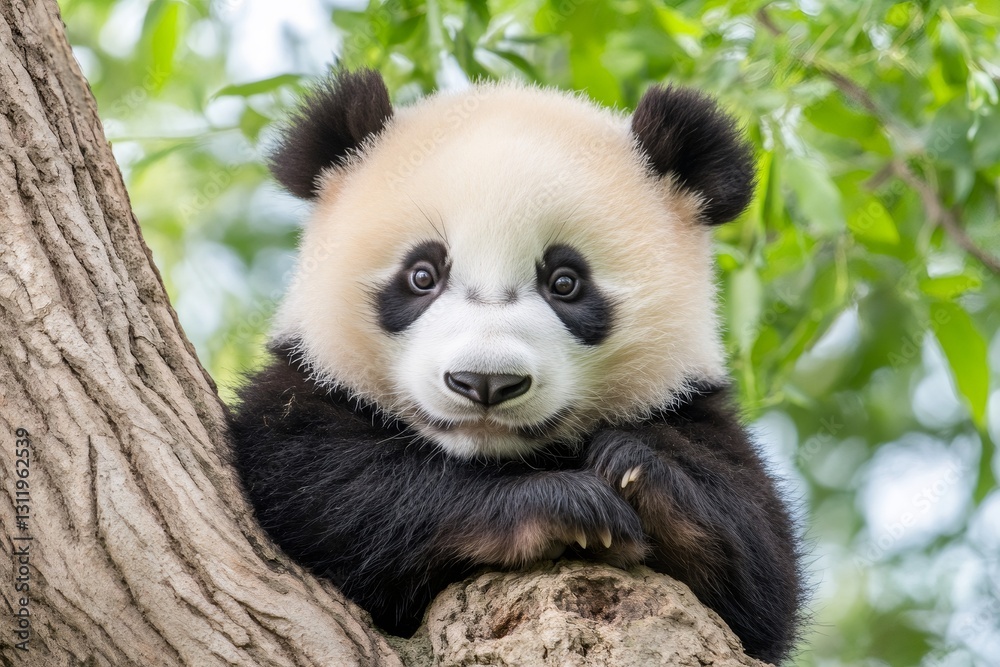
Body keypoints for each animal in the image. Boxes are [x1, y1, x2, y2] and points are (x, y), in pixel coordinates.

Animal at [229, 69, 803, 664]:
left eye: (565, 282)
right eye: (422, 275)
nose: (486, 382)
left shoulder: (690, 405)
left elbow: (760, 569)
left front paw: (633, 468)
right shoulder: (306, 387)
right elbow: (323, 488)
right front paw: (565, 504)